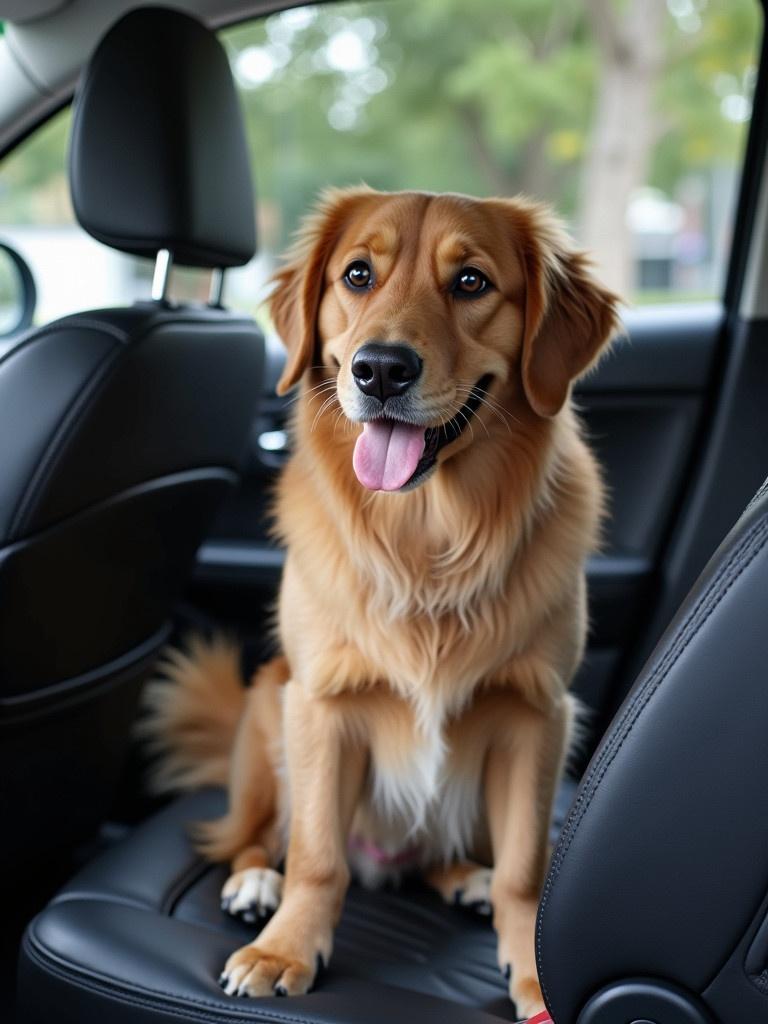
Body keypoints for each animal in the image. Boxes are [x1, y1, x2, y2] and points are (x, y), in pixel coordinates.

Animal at [144, 190, 622, 1015]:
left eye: (471, 282)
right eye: (358, 275)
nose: (381, 370)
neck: (426, 539)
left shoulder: (537, 716)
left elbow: (526, 868)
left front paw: (533, 973)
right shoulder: (321, 705)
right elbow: (317, 856)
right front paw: (287, 949)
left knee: (443, 855)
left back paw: (464, 877)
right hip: (269, 707)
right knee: (255, 835)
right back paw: (253, 881)